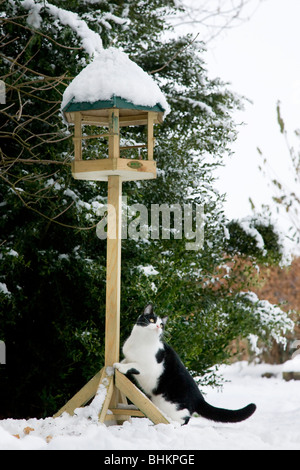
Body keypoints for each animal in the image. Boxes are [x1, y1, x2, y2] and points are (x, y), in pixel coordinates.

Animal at [114, 304, 255, 426]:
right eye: (152, 319)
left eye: (162, 324)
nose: (159, 326)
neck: (140, 341)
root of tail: (199, 398)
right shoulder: (128, 356)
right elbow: (127, 360)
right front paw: (119, 363)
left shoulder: (150, 368)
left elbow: (133, 365)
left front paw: (120, 367)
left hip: (174, 407)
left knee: (183, 420)